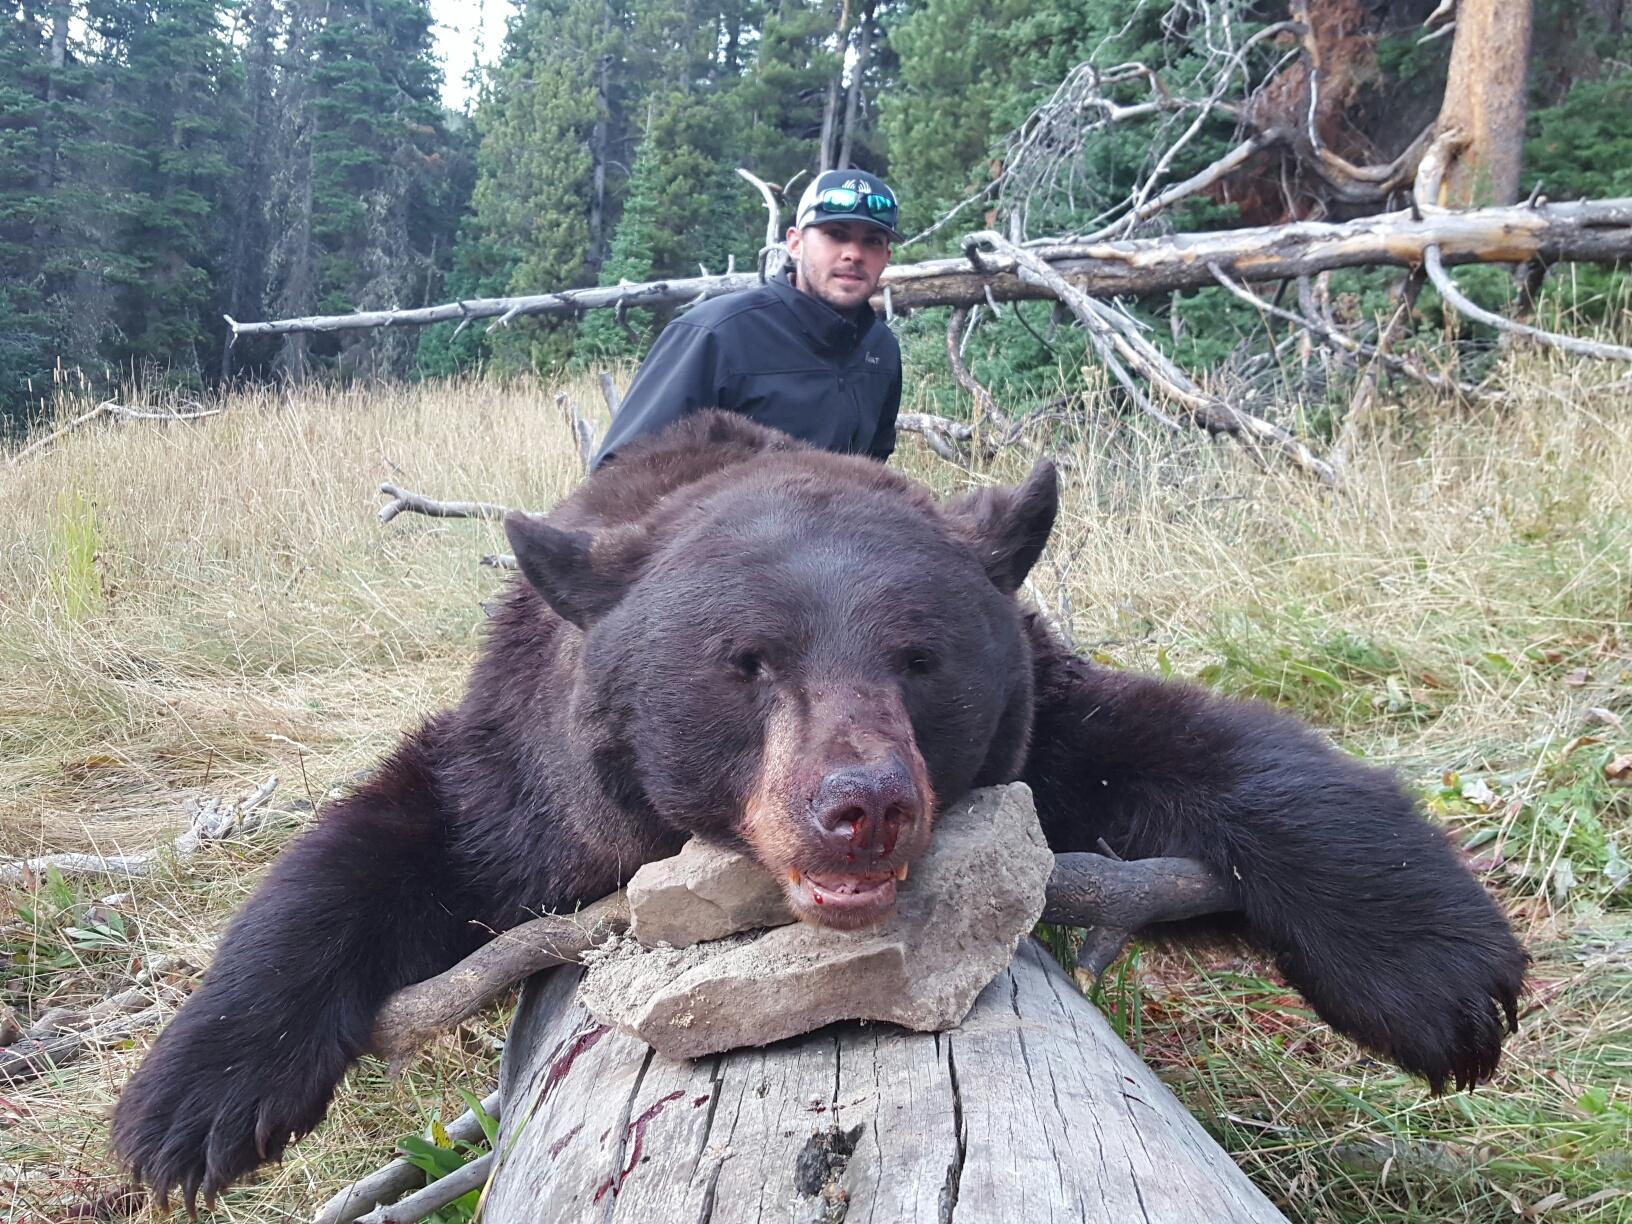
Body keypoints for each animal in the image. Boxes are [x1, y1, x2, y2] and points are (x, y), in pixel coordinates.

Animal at [115, 412, 1527, 1207]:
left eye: (920, 657)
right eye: (747, 663)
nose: (864, 806)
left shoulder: (1044, 719)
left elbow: (1199, 750)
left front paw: (1445, 970)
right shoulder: (528, 775)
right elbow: (378, 840)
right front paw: (190, 1107)